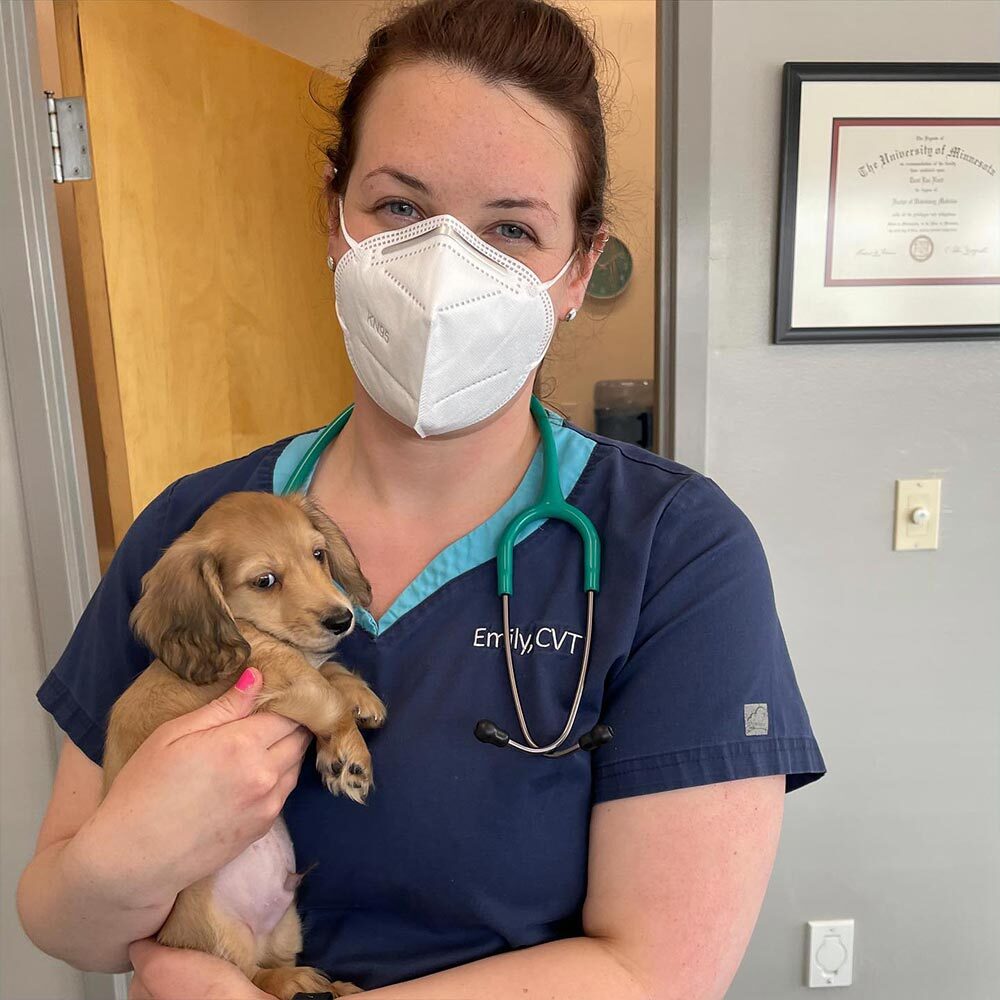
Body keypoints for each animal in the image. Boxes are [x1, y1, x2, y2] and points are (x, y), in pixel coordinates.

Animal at [104, 492, 386, 1000]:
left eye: (318, 554)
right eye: (265, 580)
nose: (343, 619)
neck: (243, 629)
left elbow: (328, 671)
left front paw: (361, 698)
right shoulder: (277, 671)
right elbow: (323, 692)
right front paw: (351, 756)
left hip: (287, 924)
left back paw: (331, 986)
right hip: (217, 929)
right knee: (252, 976)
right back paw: (295, 982)